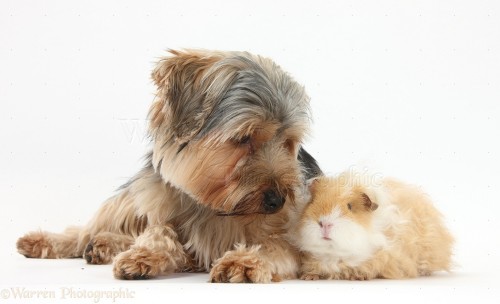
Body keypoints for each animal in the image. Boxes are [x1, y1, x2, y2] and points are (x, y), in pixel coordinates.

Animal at [16, 49, 320, 282]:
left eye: (289, 143)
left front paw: (243, 261)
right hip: (132, 197)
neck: (212, 204)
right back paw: (52, 241)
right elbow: (160, 230)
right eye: (244, 138)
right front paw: (144, 254)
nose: (277, 201)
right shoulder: (162, 206)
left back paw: (103, 244)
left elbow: (273, 247)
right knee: (86, 230)